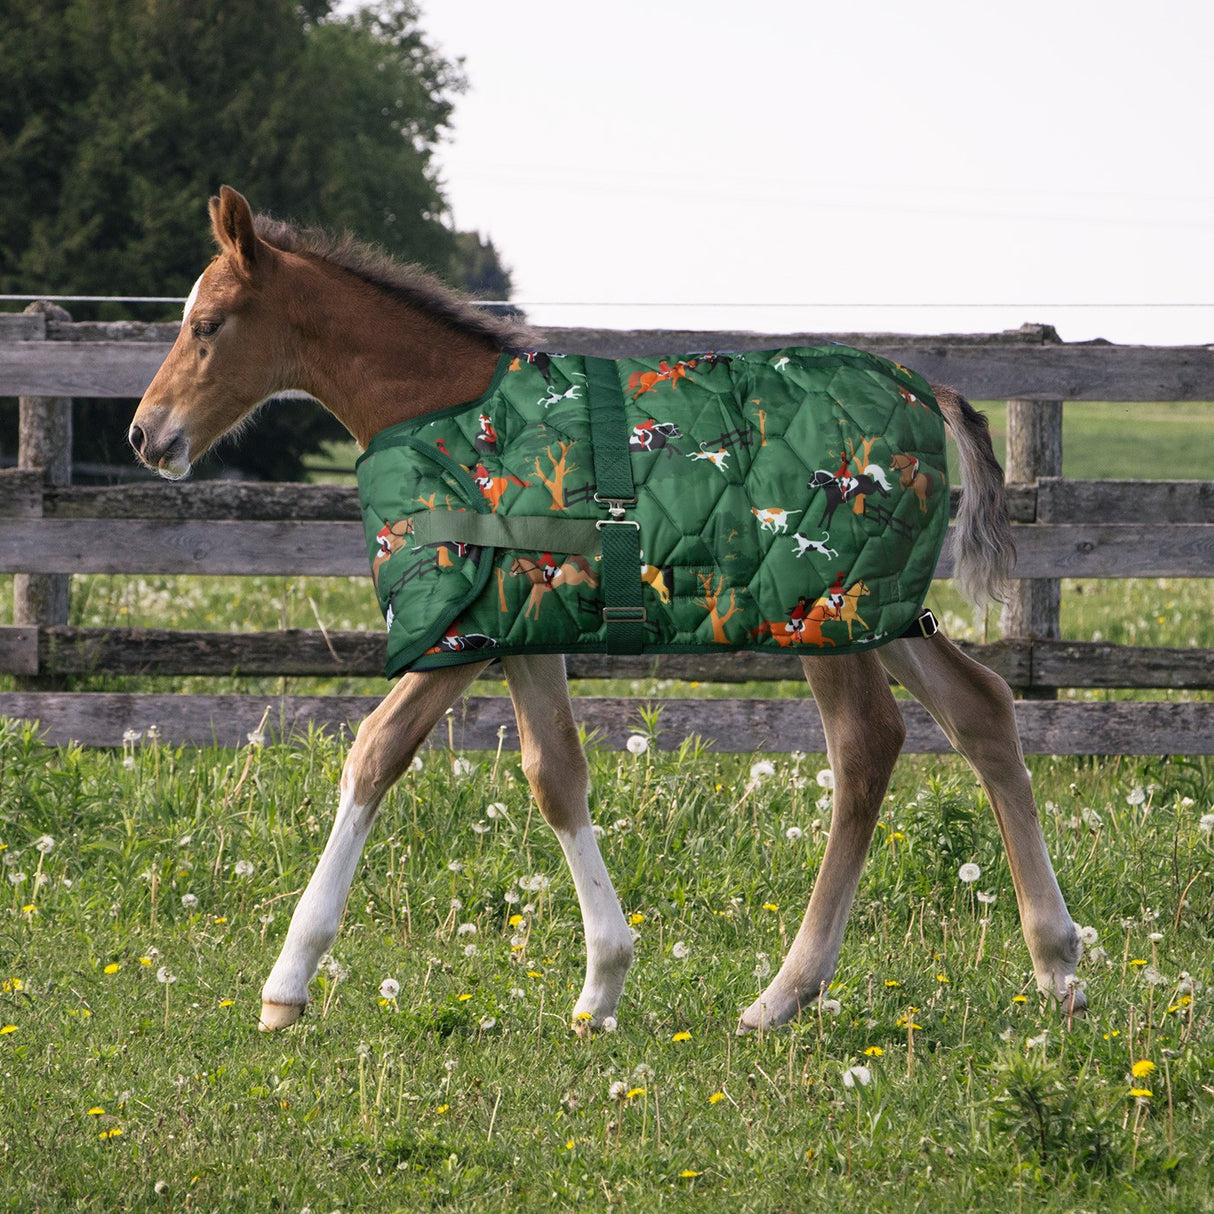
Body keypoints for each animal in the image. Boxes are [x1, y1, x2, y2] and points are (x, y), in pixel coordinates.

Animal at [129, 187, 1084, 1034]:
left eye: (207, 324)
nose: (145, 434)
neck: (449, 416)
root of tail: (928, 391)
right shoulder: (523, 627)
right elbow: (555, 774)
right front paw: (602, 984)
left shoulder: (461, 626)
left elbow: (375, 751)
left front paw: (286, 985)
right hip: (884, 611)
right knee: (981, 709)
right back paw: (1058, 965)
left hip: (822, 614)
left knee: (865, 748)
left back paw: (785, 993)